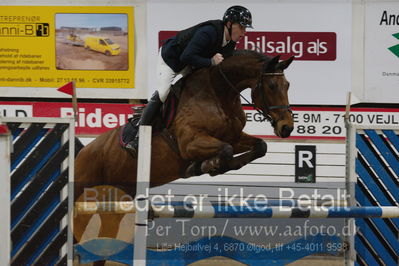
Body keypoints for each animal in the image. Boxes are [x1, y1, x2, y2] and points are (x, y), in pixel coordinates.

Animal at [73, 49, 296, 243]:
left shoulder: (233, 137)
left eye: (287, 85)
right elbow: (226, 150)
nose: (286, 127)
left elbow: (260, 146)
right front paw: (208, 165)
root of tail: (82, 152)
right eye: (272, 86)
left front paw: (213, 165)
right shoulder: (189, 143)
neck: (218, 94)